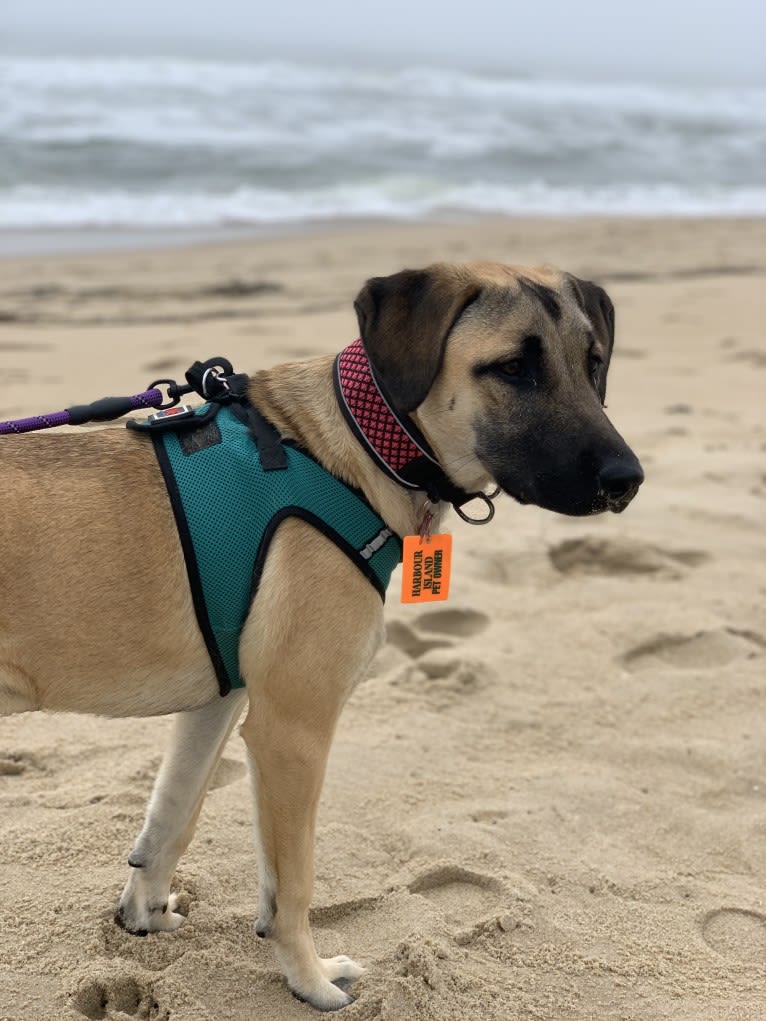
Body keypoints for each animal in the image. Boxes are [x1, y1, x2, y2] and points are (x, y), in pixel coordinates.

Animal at [0, 259, 645, 1008]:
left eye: (593, 362)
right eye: (513, 367)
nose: (627, 480)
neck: (359, 441)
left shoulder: (220, 701)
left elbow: (173, 813)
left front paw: (145, 913)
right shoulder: (292, 728)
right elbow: (293, 884)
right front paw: (308, 980)